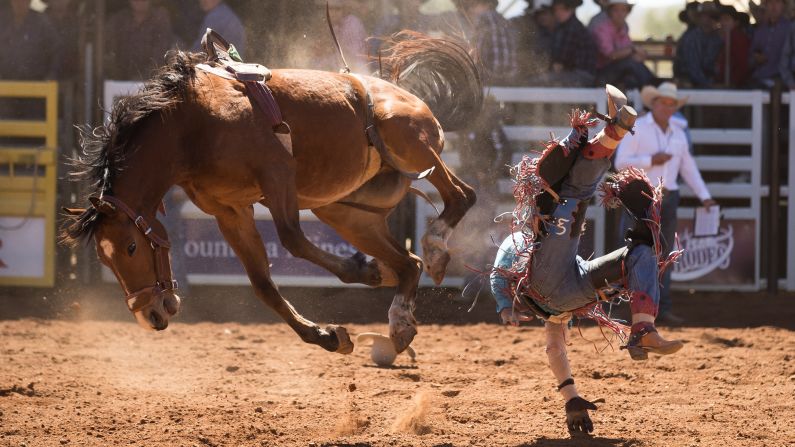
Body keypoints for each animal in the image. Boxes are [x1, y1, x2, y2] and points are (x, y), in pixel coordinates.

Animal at [62, 31, 482, 356]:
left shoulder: (278, 173)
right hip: (346, 212)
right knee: (408, 263)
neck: (192, 127)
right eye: (104, 258)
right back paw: (399, 321)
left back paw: (434, 249)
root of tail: (410, 96)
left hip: (406, 138)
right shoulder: (229, 211)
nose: (150, 315)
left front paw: (361, 270)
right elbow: (263, 284)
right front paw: (328, 336)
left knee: (461, 196)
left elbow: (292, 239)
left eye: (131, 247)